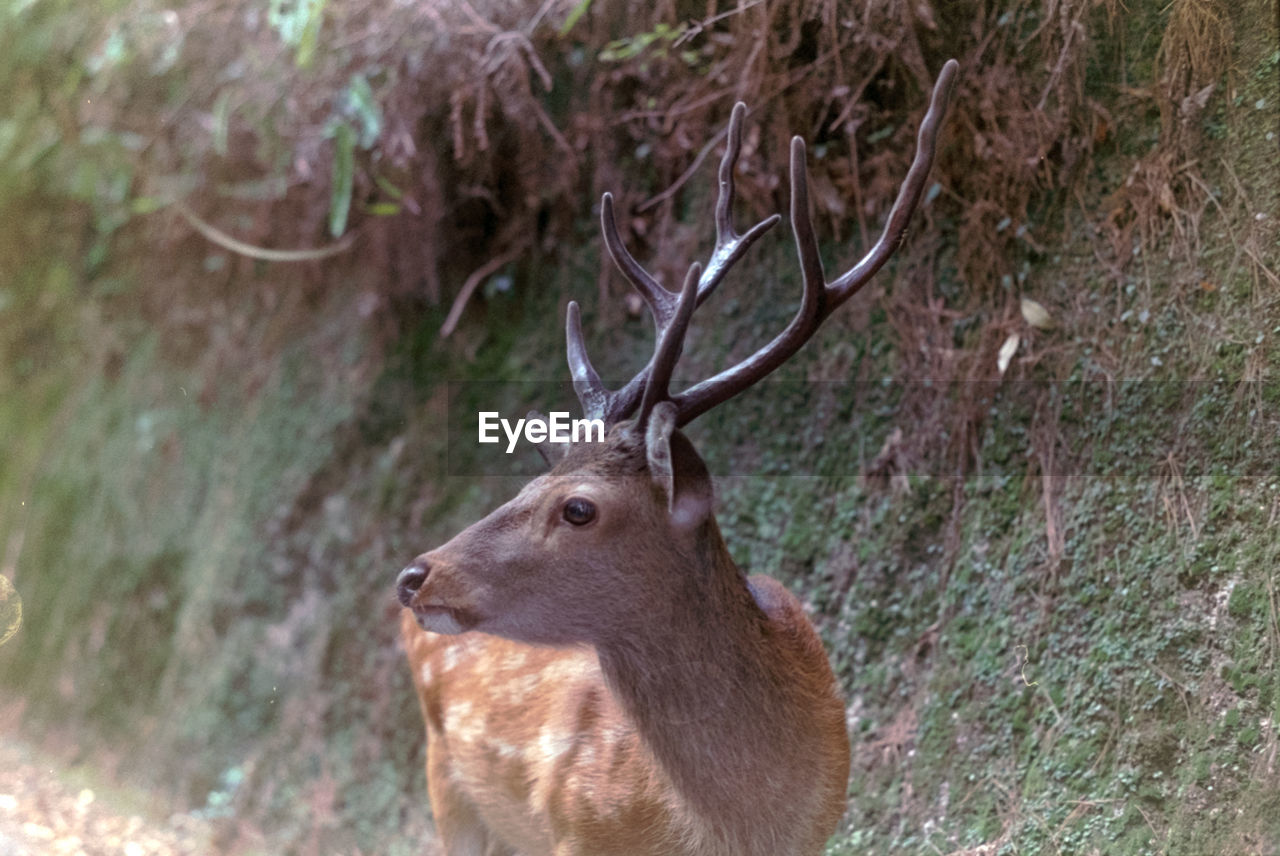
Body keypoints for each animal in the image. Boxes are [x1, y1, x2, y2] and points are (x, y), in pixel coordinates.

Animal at [394, 60, 957, 854]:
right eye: (537, 481)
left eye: (577, 507)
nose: (416, 575)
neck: (732, 824)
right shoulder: (575, 831)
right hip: (447, 788)